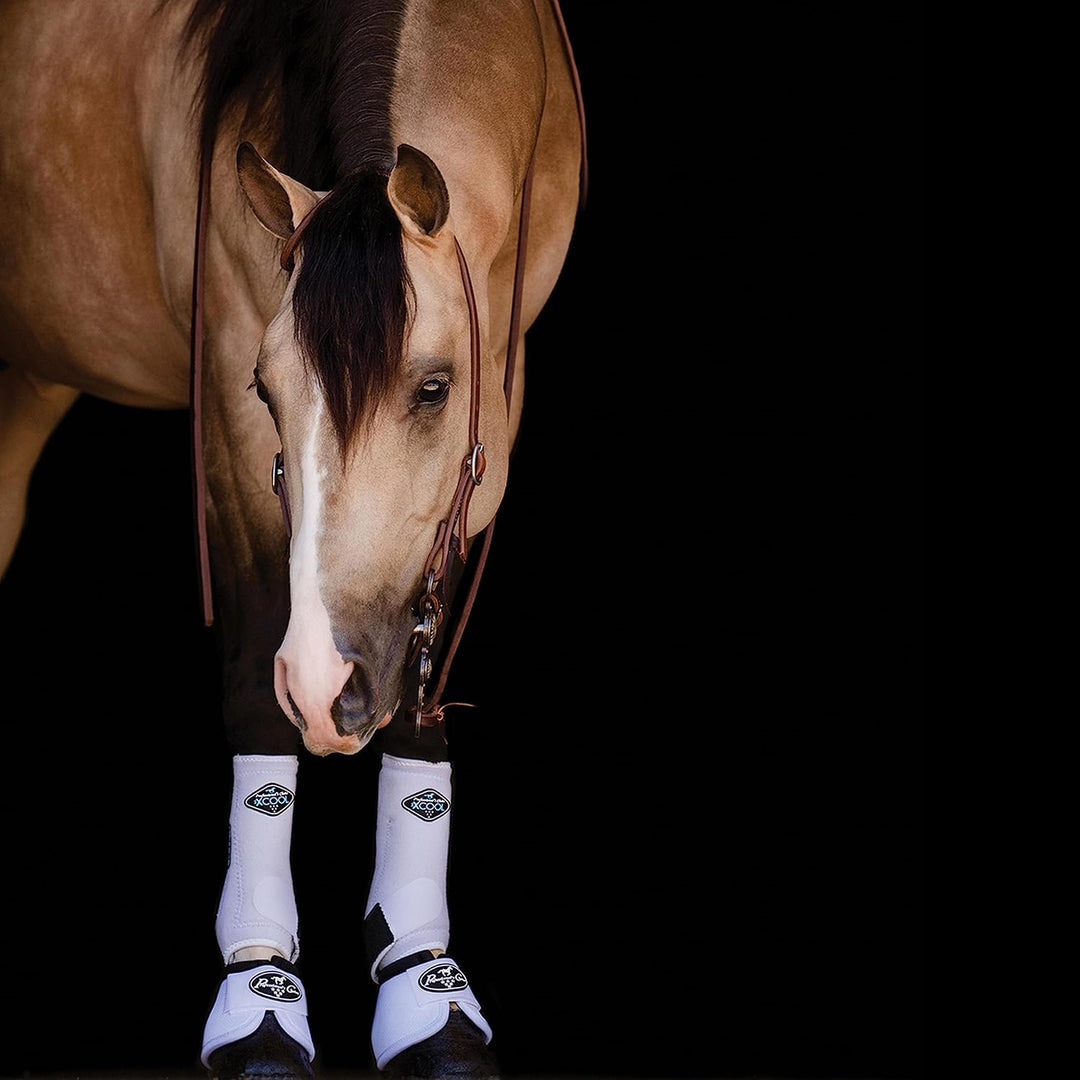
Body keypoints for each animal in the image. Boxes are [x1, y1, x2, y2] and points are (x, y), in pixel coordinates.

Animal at [0, 0, 586, 1075]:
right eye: (267, 391)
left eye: (435, 387)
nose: (323, 686)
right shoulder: (230, 394)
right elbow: (251, 695)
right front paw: (259, 993)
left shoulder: (503, 389)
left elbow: (426, 688)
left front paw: (425, 987)